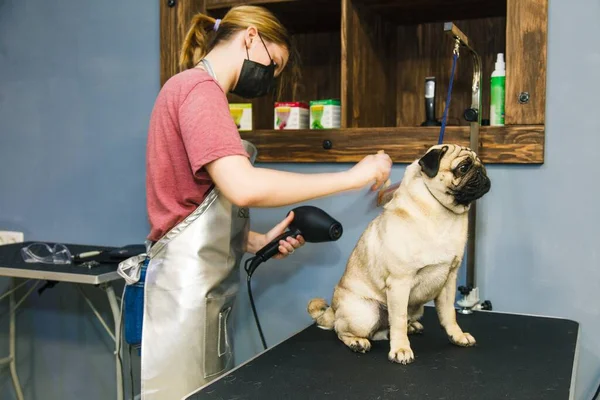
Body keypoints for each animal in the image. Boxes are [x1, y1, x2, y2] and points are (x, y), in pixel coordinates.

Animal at [310, 145, 492, 366]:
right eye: (464, 167)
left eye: (480, 163)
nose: (482, 171)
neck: (441, 214)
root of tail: (333, 311)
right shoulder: (399, 282)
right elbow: (398, 320)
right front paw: (401, 349)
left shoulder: (449, 279)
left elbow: (449, 314)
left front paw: (456, 335)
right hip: (365, 314)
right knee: (341, 330)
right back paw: (357, 341)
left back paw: (412, 327)